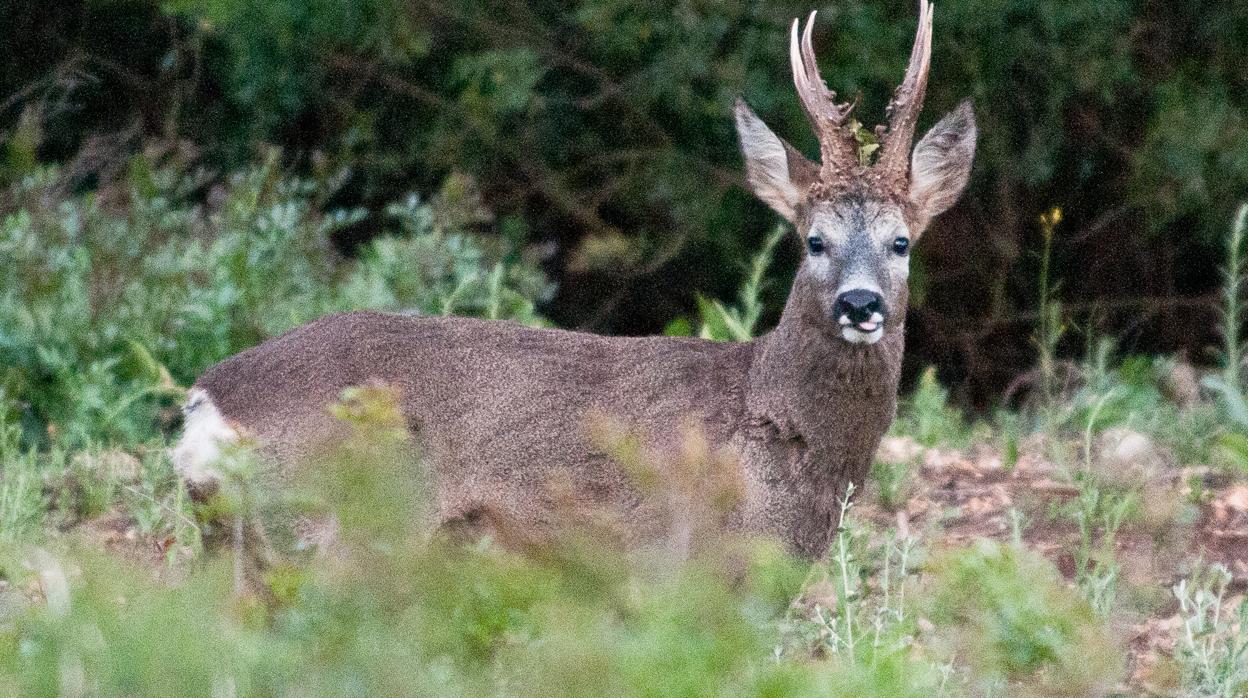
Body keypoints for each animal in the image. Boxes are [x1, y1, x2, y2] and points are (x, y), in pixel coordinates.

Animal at [175, 0, 973, 556]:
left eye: (902, 242)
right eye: (813, 240)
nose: (861, 303)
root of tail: (205, 402)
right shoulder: (677, 563)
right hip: (339, 526)